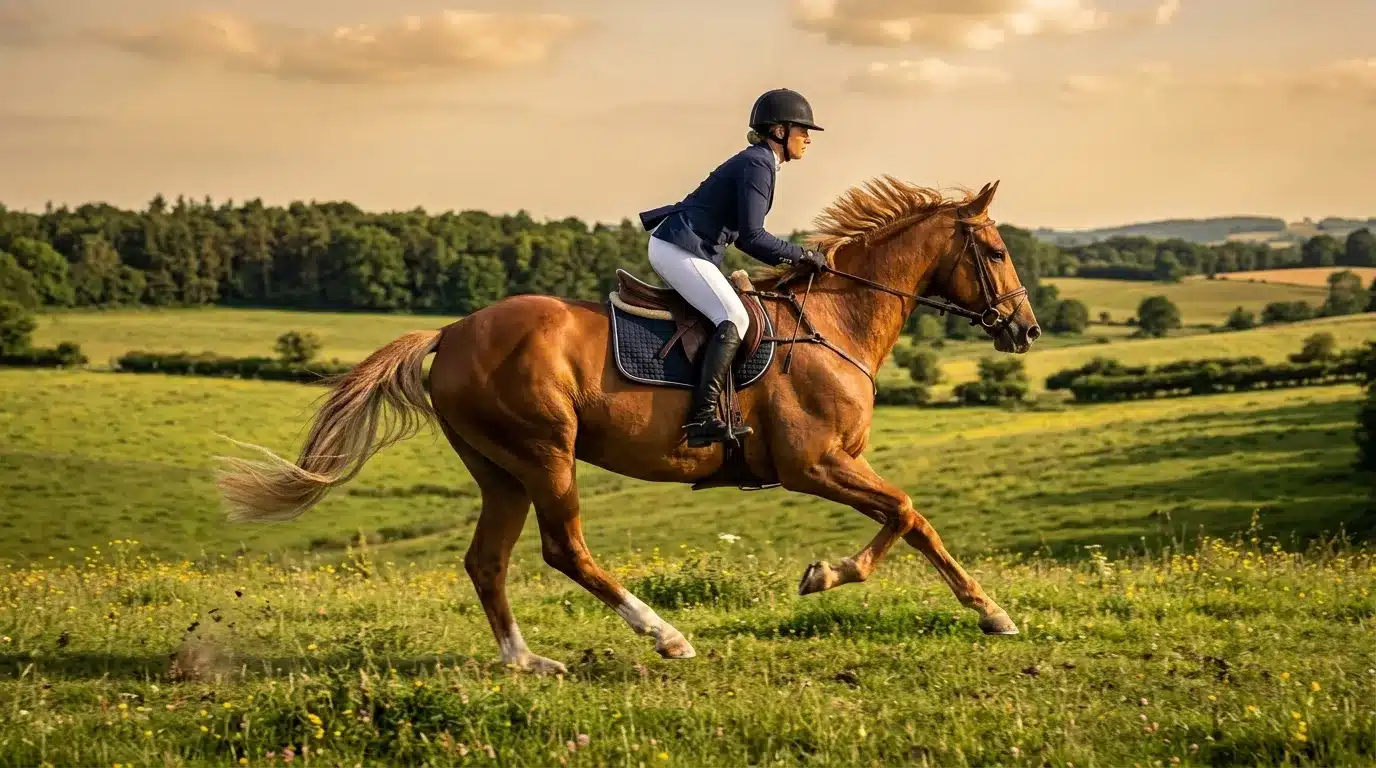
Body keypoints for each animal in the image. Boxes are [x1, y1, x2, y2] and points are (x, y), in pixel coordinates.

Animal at [214, 176, 1042, 675]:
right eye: (997, 250)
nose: (1026, 329)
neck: (836, 321)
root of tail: (450, 332)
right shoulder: (814, 463)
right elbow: (904, 513)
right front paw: (832, 576)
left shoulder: (831, 466)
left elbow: (913, 521)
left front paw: (989, 611)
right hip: (545, 453)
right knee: (564, 550)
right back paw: (666, 635)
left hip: (500, 470)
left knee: (488, 561)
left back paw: (526, 662)